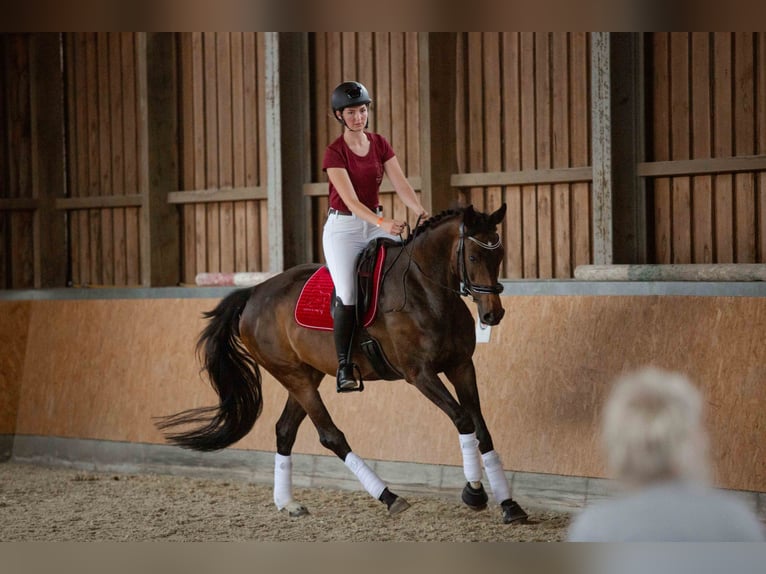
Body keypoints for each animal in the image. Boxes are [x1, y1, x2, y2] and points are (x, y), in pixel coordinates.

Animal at [156, 206, 528, 528]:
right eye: (474, 256)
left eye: (499, 255)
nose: (493, 314)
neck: (426, 291)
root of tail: (254, 293)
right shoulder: (420, 374)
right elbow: (463, 419)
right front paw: (474, 493)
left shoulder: (462, 366)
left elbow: (481, 428)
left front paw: (509, 505)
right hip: (295, 377)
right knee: (330, 435)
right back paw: (389, 496)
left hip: (307, 375)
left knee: (284, 430)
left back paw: (288, 504)